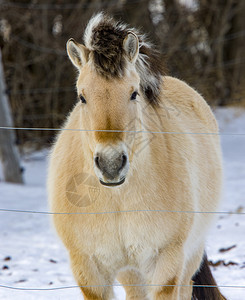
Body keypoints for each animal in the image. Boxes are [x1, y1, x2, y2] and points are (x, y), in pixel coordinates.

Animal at [47, 12, 226, 300]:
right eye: (82, 97)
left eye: (133, 93)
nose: (110, 164)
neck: (117, 199)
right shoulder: (89, 271)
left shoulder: (165, 266)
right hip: (131, 272)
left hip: (189, 256)